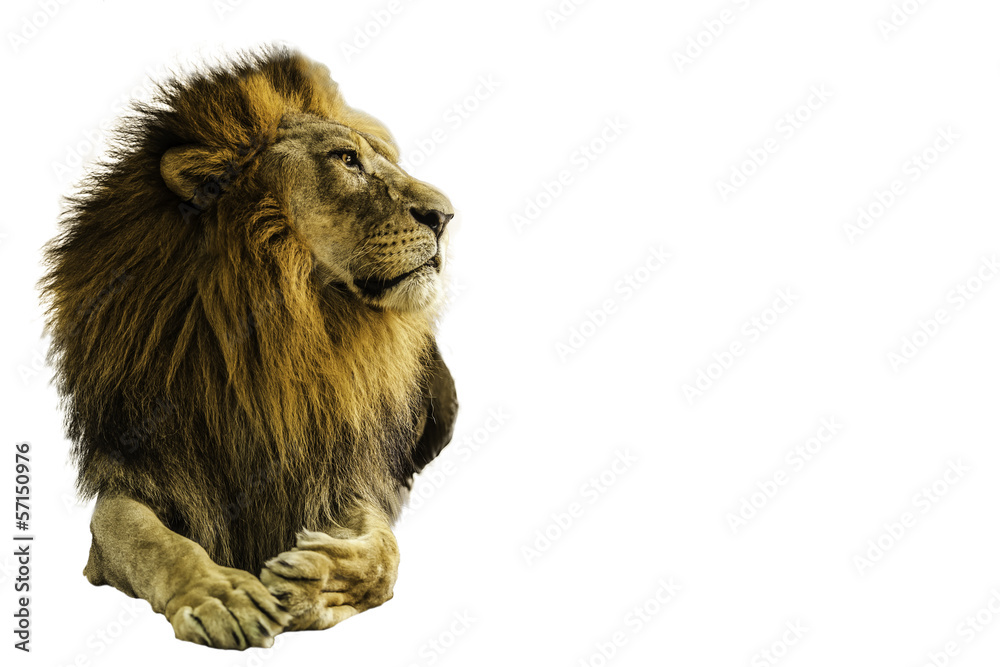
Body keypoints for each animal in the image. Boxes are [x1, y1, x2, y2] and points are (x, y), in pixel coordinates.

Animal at [40, 47, 458, 650]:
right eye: (346, 159)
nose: (446, 216)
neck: (279, 330)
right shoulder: (137, 478)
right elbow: (151, 540)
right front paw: (222, 595)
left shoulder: (342, 479)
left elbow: (385, 554)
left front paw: (310, 582)